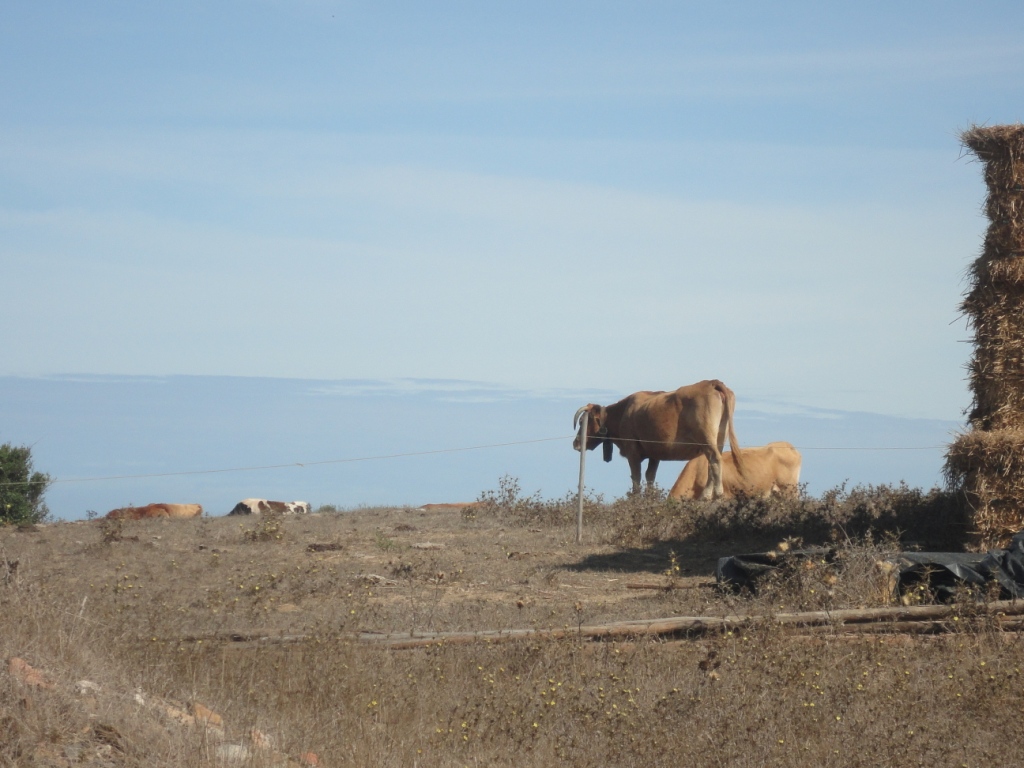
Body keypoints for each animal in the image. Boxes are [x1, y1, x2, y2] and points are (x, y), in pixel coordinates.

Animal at [573, 378, 741, 499]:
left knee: (715, 460)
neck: (622, 413)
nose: (575, 444)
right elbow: (650, 477)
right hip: (719, 438)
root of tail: (712, 383)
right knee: (713, 463)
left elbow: (636, 478)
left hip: (707, 438)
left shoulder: (632, 452)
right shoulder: (654, 454)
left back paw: (712, 495)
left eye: (582, 422)